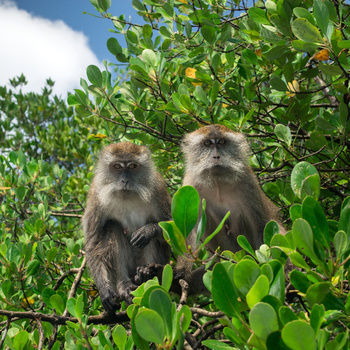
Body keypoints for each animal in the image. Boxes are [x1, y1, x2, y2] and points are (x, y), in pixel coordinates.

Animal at [81, 141, 171, 310]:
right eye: (117, 166)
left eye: (132, 166)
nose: (125, 181)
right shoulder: (96, 194)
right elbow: (93, 242)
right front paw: (105, 291)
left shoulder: (157, 188)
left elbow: (176, 228)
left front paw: (148, 231)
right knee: (112, 226)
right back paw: (125, 285)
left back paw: (146, 272)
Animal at [175, 124, 284, 294]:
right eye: (207, 143)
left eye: (222, 142)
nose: (216, 157)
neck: (218, 181)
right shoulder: (191, 185)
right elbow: (188, 230)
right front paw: (181, 271)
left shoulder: (247, 181)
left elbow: (261, 226)